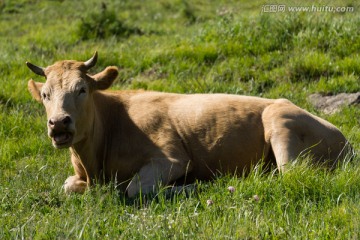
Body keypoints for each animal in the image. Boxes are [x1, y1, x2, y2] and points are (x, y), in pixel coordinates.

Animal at [26, 52, 352, 197]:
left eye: (82, 89)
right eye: (45, 94)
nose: (58, 122)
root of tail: (347, 143)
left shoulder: (171, 157)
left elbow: (133, 189)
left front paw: (186, 187)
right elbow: (67, 185)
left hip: (280, 123)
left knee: (287, 175)